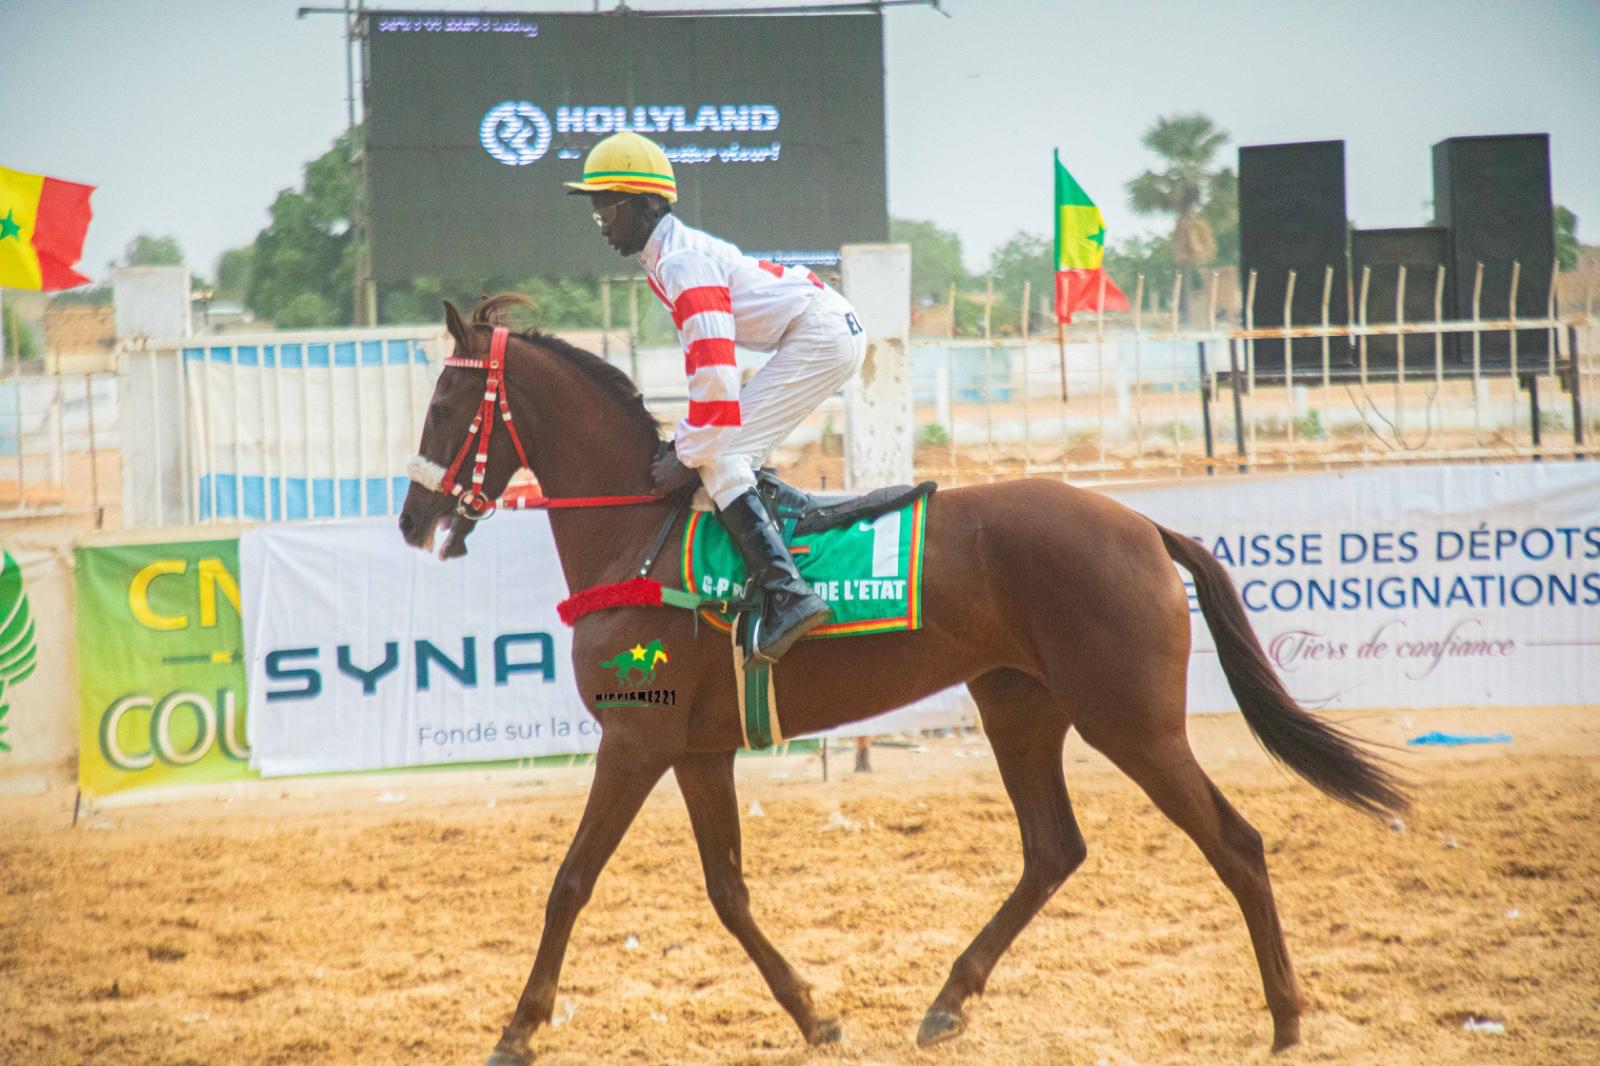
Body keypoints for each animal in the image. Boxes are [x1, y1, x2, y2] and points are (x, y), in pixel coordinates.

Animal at [397, 296, 1407, 1065]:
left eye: (445, 403)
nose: (410, 520)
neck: (636, 537)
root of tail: (1143, 525)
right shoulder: (696, 751)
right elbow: (728, 892)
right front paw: (815, 1015)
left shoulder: (635, 740)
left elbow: (570, 880)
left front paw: (519, 1030)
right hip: (1019, 710)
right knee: (1053, 849)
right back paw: (949, 999)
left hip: (1134, 724)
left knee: (1235, 844)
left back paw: (1285, 1021)